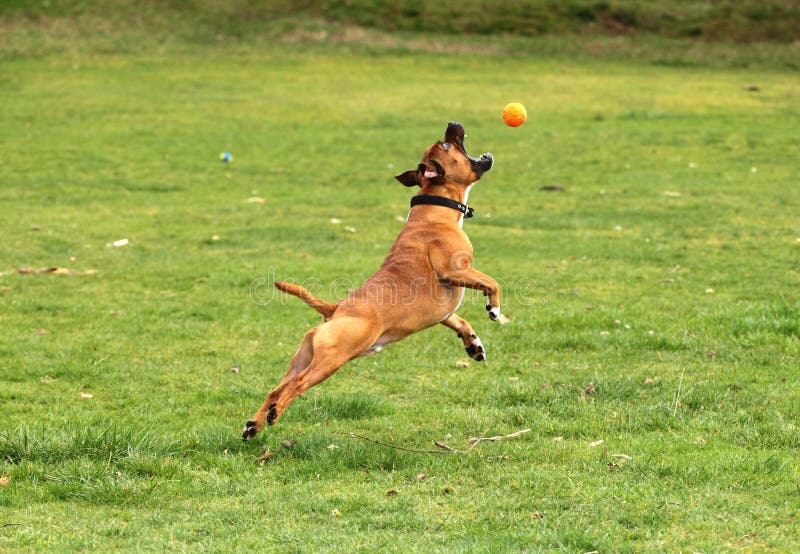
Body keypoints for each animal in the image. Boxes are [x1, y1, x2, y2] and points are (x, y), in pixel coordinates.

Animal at [242, 122, 500, 440]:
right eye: (447, 145)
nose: (453, 125)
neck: (436, 207)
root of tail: (335, 310)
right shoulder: (455, 272)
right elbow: (492, 282)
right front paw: (494, 309)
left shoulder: (444, 311)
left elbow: (459, 320)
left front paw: (473, 343)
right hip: (330, 360)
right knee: (294, 386)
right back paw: (275, 413)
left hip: (304, 357)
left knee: (274, 389)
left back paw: (254, 425)